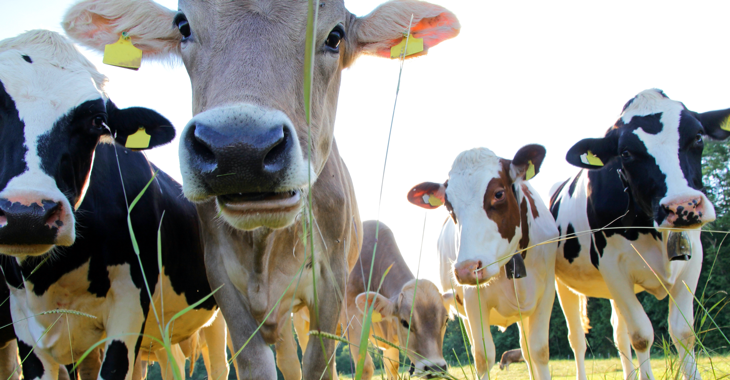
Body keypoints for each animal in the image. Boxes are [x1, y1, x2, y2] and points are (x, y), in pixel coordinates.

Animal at [65, 1, 458, 378]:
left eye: (335, 36)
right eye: (183, 26)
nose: (240, 150)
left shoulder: (331, 286)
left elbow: (320, 365)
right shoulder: (222, 281)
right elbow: (256, 364)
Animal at [406, 144, 556, 378]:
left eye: (498, 194)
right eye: (449, 207)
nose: (466, 269)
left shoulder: (547, 291)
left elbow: (539, 350)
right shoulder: (472, 300)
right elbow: (483, 356)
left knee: (527, 350)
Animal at [548, 89, 724, 380]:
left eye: (698, 136)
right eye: (626, 153)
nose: (683, 206)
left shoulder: (693, 259)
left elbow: (683, 332)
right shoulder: (612, 266)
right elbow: (642, 335)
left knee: (618, 332)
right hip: (565, 285)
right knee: (578, 339)